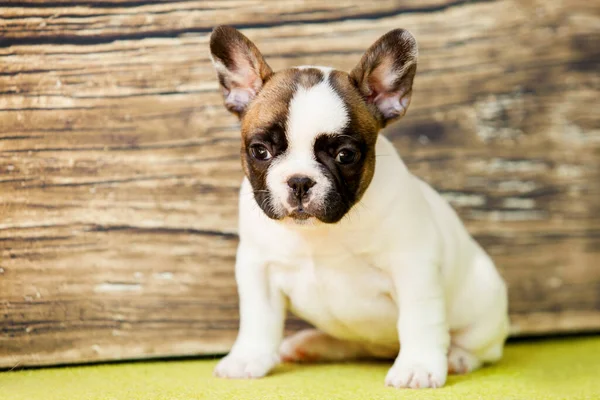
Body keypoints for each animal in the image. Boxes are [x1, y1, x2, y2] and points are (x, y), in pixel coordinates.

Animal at [209, 25, 508, 388]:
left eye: (345, 155)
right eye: (260, 151)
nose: (299, 181)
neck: (320, 233)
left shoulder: (413, 269)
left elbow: (420, 320)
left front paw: (417, 367)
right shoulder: (258, 270)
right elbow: (258, 320)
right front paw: (247, 358)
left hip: (485, 304)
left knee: (483, 348)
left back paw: (457, 358)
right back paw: (312, 344)